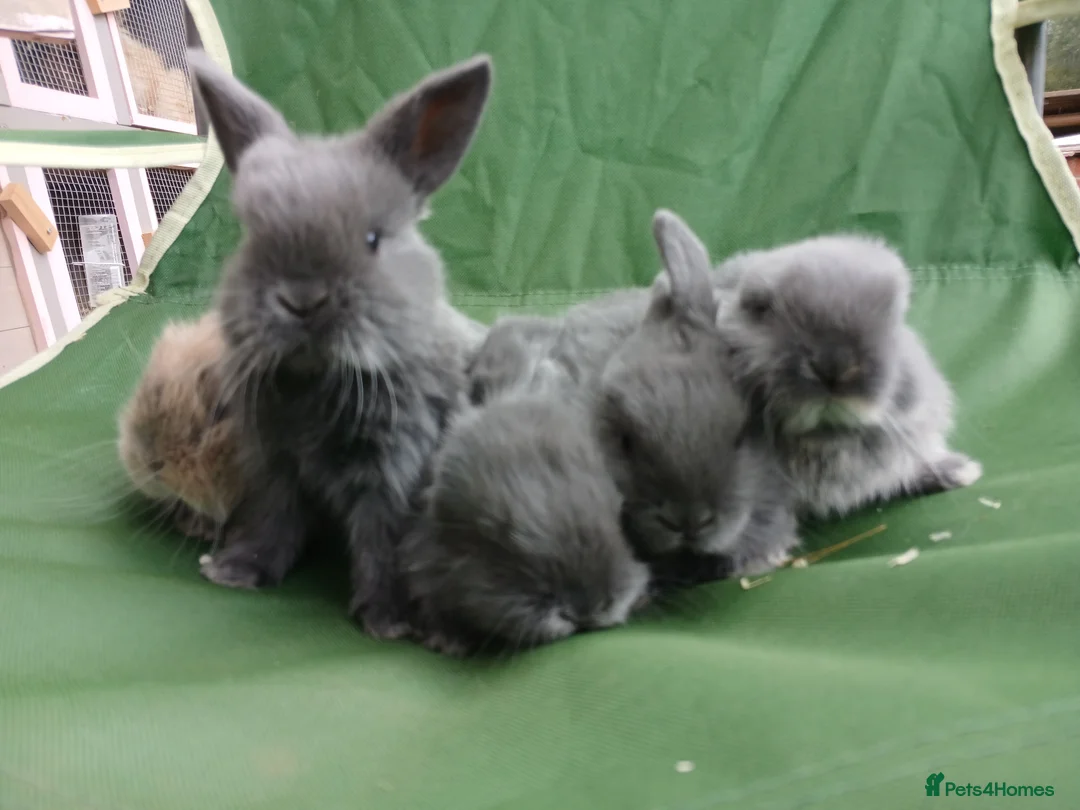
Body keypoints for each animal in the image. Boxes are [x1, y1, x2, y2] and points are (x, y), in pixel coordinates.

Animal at [186, 50, 494, 639]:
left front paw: (391, 621)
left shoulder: (395, 472)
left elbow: (383, 541)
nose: (302, 300)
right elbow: (274, 522)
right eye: (252, 237)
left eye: (372, 240)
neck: (316, 378)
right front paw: (235, 571)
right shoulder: (275, 468)